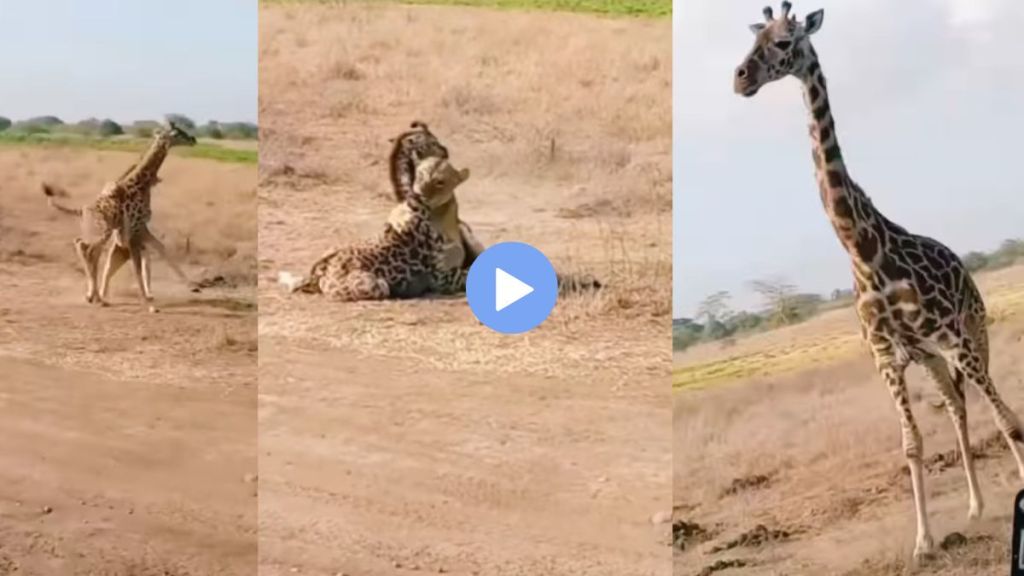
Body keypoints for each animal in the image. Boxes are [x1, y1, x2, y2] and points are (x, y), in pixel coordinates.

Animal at [44, 119, 199, 309]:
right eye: (177, 133)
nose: (193, 139)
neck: (142, 183)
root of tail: (81, 210)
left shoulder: (138, 228)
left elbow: (157, 249)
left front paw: (191, 286)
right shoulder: (135, 229)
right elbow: (137, 265)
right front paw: (148, 303)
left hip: (99, 232)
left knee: (87, 249)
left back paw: (95, 296)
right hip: (102, 231)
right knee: (86, 248)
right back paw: (96, 297)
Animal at [733, 0, 1024, 557]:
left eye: (783, 43)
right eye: (753, 41)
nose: (740, 78)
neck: (865, 249)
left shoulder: (953, 339)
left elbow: (1005, 417)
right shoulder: (888, 356)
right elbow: (911, 444)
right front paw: (924, 542)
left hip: (971, 334)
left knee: (992, 403)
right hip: (932, 358)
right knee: (956, 406)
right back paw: (975, 507)